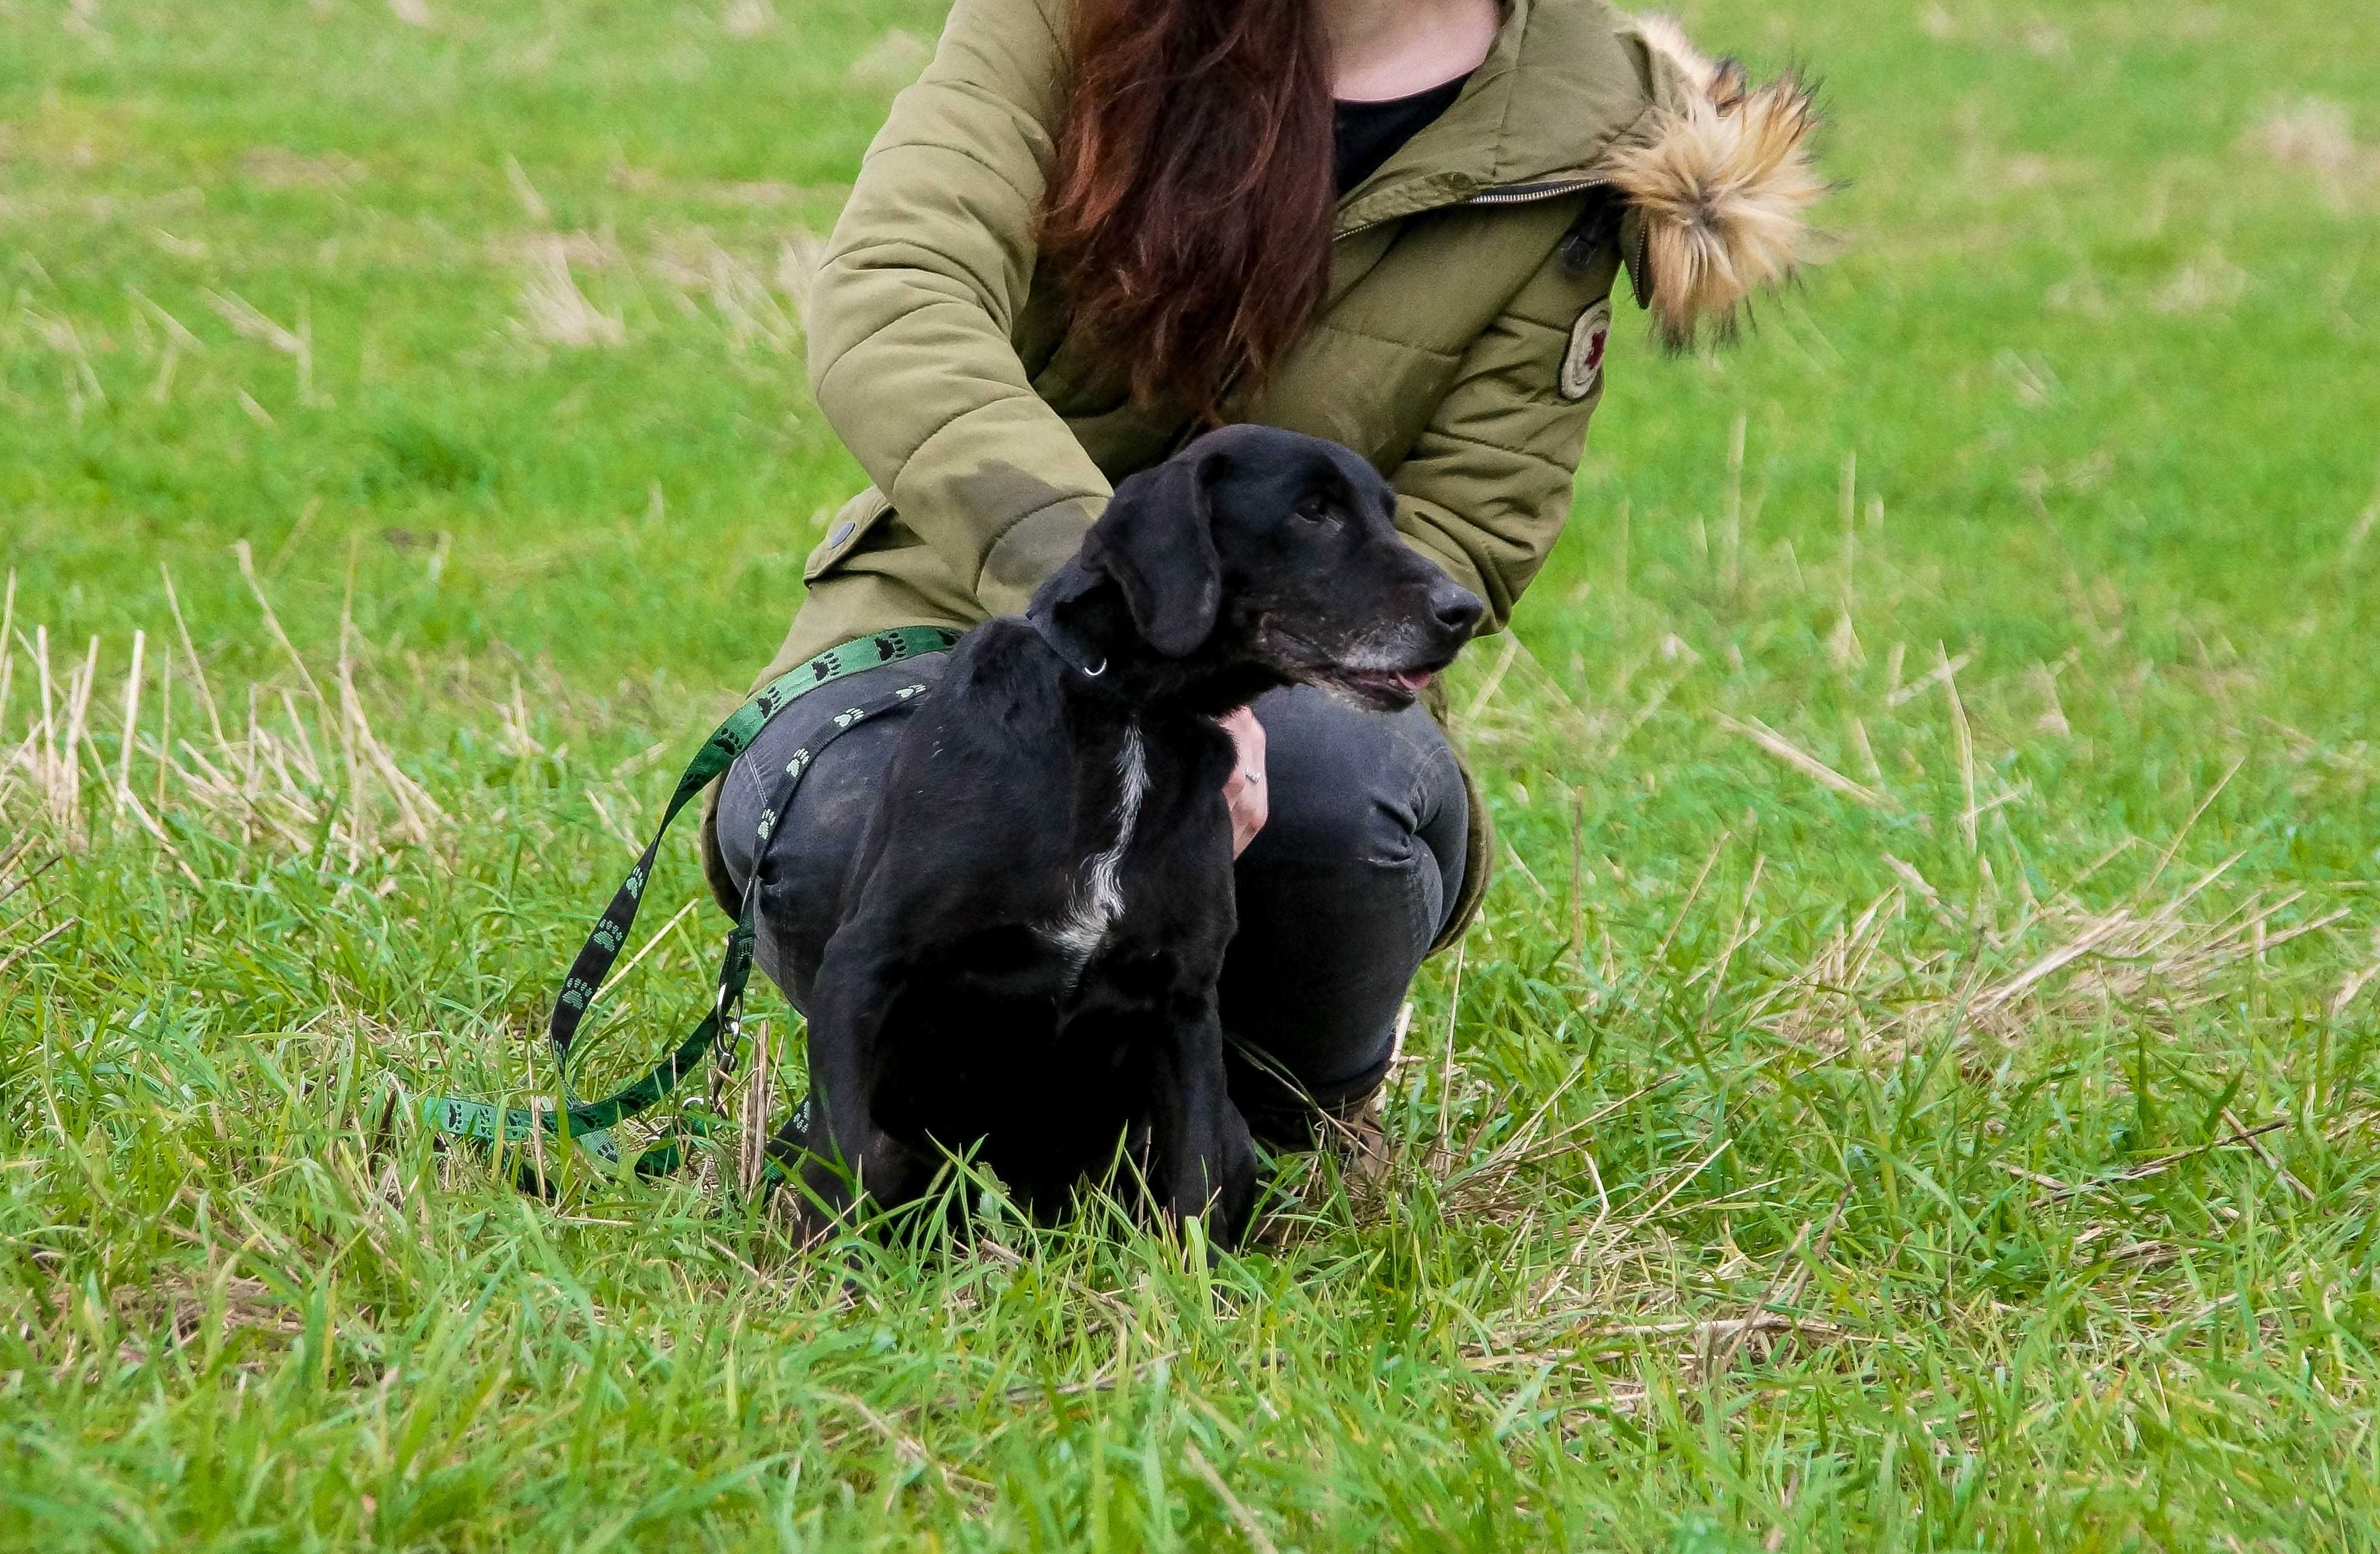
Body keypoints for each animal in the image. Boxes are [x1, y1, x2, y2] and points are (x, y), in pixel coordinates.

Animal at [790, 423, 1475, 1247]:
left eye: (1387, 513)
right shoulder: (862, 966)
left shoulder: (1182, 1003)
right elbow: (842, 1161)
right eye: (1313, 510)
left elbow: (1194, 1186)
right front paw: (833, 1269)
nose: (1465, 610)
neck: (1132, 716)